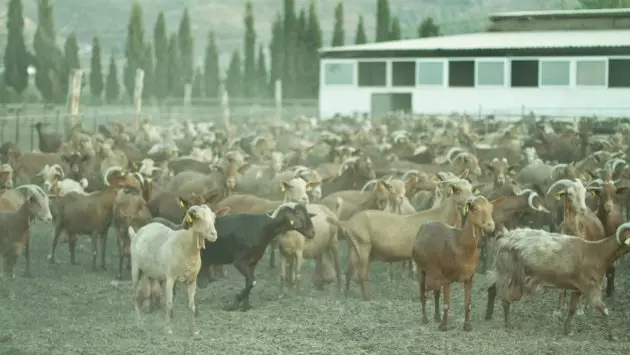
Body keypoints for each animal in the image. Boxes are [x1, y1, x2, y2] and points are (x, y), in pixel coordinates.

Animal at [129, 204, 230, 336]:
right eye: (197, 217)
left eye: (214, 218)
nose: (214, 234)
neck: (186, 247)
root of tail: (138, 232)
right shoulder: (170, 279)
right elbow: (169, 303)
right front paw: (168, 328)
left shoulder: (192, 280)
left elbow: (191, 305)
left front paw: (194, 330)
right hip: (135, 268)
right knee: (134, 296)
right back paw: (139, 323)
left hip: (150, 273)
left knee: (146, 293)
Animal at [414, 196, 504, 332]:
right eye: (475, 208)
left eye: (491, 208)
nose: (490, 225)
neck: (460, 244)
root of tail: (423, 226)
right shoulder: (447, 278)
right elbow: (446, 304)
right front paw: (444, 326)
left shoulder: (469, 278)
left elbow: (468, 304)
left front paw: (467, 325)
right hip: (421, 268)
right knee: (422, 294)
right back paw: (425, 318)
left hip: (436, 272)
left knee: (436, 293)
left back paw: (437, 317)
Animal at [488, 222, 630, 342]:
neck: (597, 252)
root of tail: (505, 236)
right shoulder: (590, 287)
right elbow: (603, 309)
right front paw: (612, 336)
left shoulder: (578, 289)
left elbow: (572, 310)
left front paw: (567, 330)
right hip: (507, 272)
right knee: (504, 299)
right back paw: (507, 324)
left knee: (494, 290)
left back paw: (489, 315)